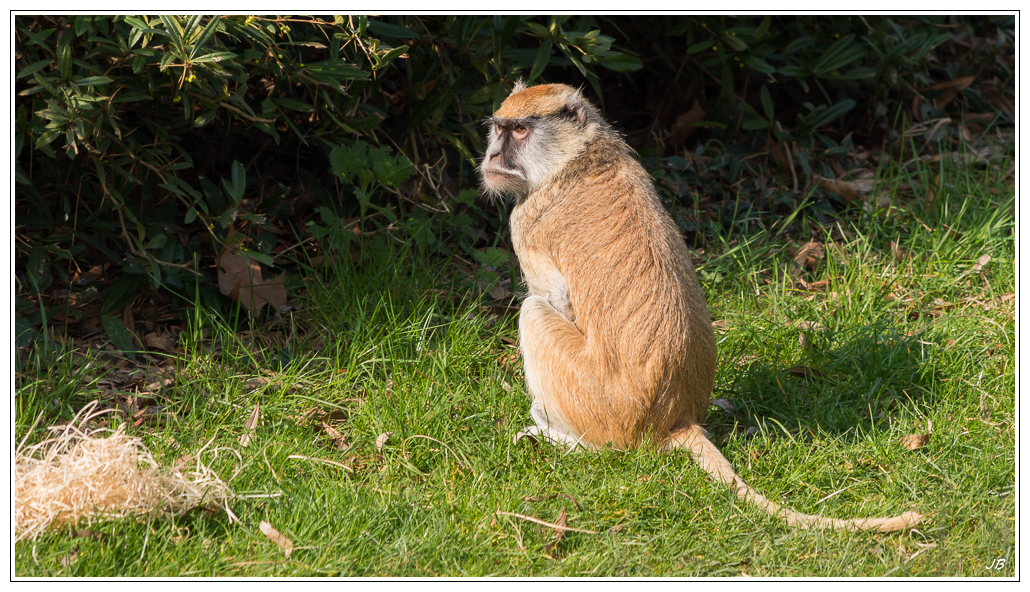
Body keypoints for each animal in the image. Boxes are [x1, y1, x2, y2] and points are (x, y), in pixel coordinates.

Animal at [482, 79, 927, 531]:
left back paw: (562, 438)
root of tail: (675, 420)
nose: (493, 156)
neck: (579, 156)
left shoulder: (528, 224)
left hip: (595, 405)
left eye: (519, 131)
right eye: (499, 128)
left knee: (535, 312)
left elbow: (557, 300)